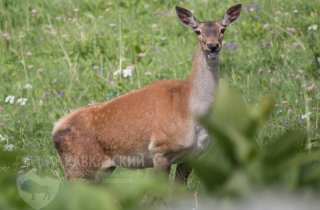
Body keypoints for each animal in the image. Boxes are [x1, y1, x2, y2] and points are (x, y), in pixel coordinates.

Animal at [52, 3, 242, 184]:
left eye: (223, 29)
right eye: (198, 31)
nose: (212, 46)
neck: (189, 107)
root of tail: (55, 129)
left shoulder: (193, 155)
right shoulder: (160, 149)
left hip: (101, 169)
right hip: (79, 166)